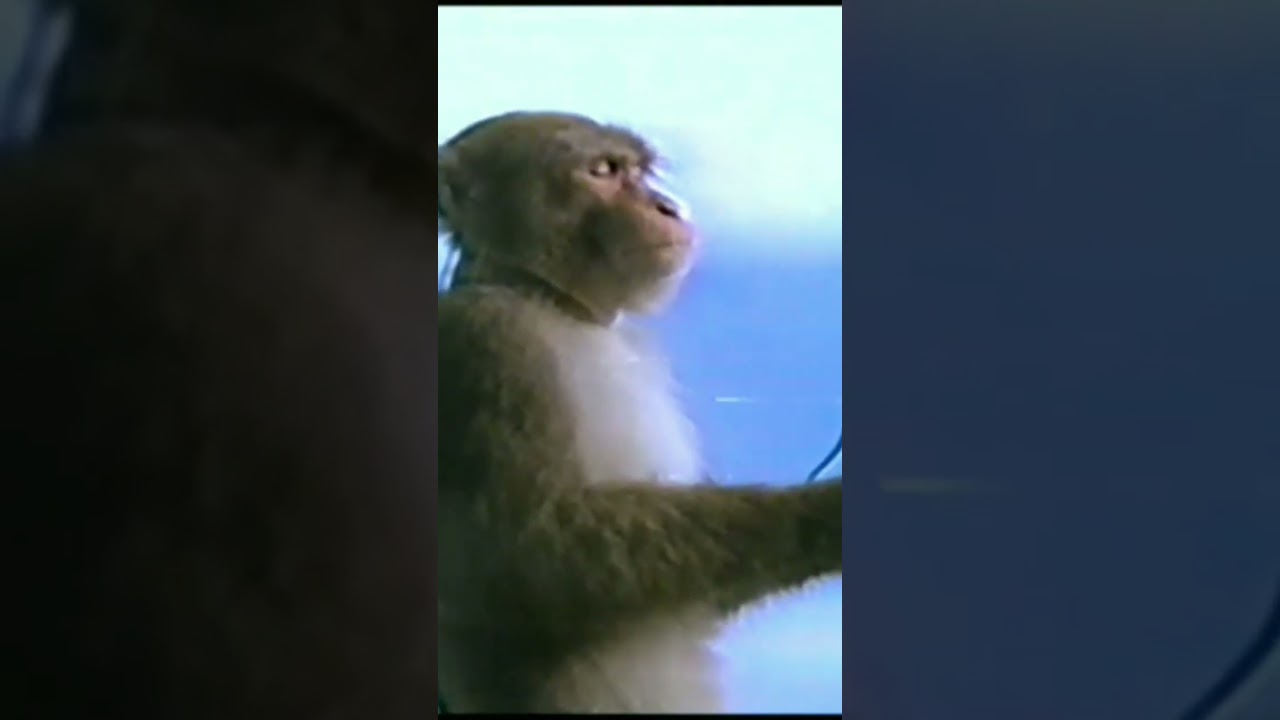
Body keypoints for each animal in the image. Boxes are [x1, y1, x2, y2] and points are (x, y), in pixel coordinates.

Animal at [437, 111, 844, 714]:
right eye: (603, 171)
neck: (556, 305)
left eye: (640, 171)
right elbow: (532, 557)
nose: (666, 207)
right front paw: (825, 512)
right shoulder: (489, 345)